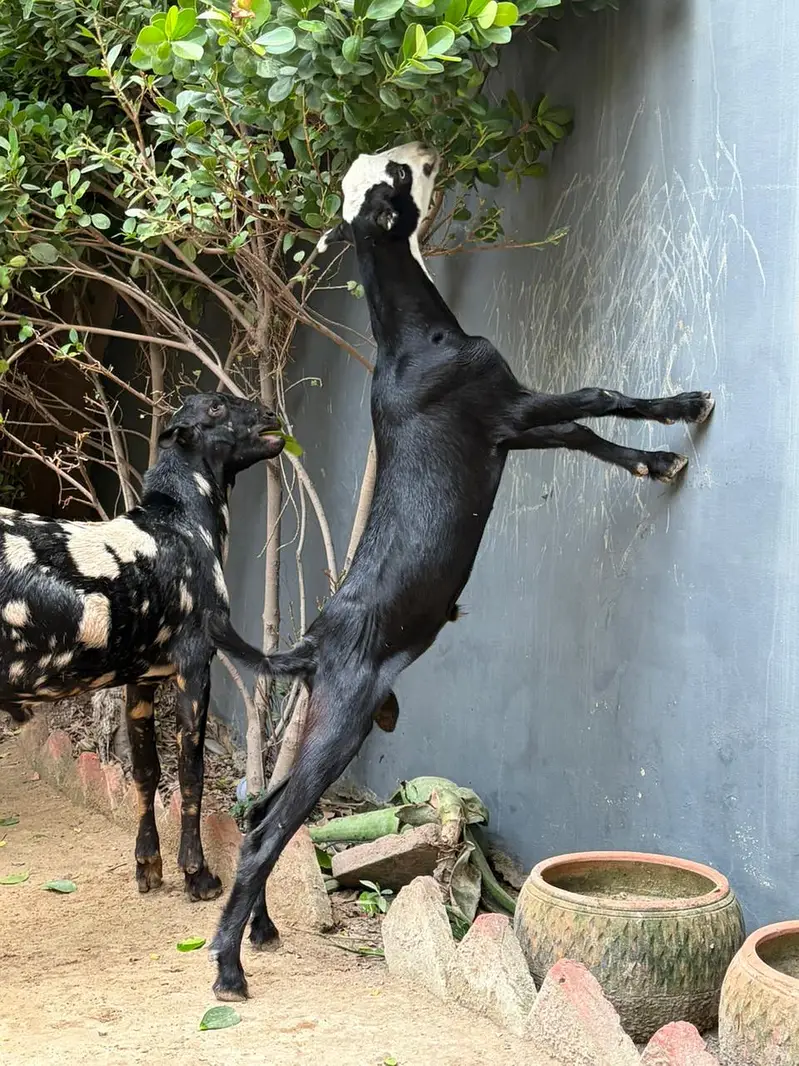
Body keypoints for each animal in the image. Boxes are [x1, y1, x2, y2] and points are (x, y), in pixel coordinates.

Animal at [0, 393, 284, 900]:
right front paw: (198, 875)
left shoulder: (141, 677)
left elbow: (146, 770)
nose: (271, 414)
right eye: (215, 408)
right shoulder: (194, 666)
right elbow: (191, 773)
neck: (178, 521)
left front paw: (148, 867)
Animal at [208, 142, 715, 1000]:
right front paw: (681, 407)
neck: (418, 343)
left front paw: (653, 462)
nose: (422, 147)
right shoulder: (505, 407)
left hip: (315, 722)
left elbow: (584, 437)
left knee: (257, 813)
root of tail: (308, 645)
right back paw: (226, 967)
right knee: (266, 828)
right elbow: (597, 393)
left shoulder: (510, 432)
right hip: (340, 723)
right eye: (395, 178)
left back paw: (264, 929)